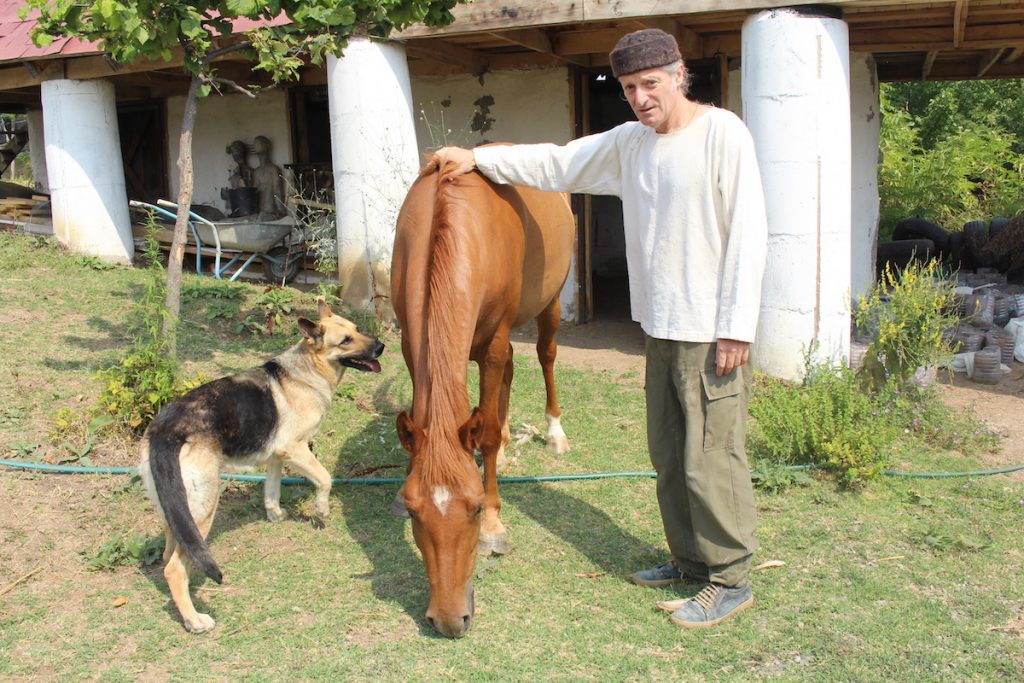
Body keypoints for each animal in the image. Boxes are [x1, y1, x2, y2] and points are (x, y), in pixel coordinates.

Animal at [140, 301, 385, 634]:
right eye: (345, 341)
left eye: (358, 330)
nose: (381, 347)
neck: (306, 370)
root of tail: (164, 429)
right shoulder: (295, 448)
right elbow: (324, 478)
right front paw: (321, 510)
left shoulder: (277, 455)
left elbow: (272, 490)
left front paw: (275, 515)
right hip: (203, 506)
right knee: (174, 568)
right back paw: (194, 619)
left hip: (175, 508)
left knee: (169, 553)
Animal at [391, 162, 577, 638]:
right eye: (414, 512)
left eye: (474, 509)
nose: (450, 619)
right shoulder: (411, 346)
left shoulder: (492, 340)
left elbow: (487, 432)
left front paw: (495, 525)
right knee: (509, 370)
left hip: (551, 302)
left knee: (545, 355)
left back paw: (554, 431)